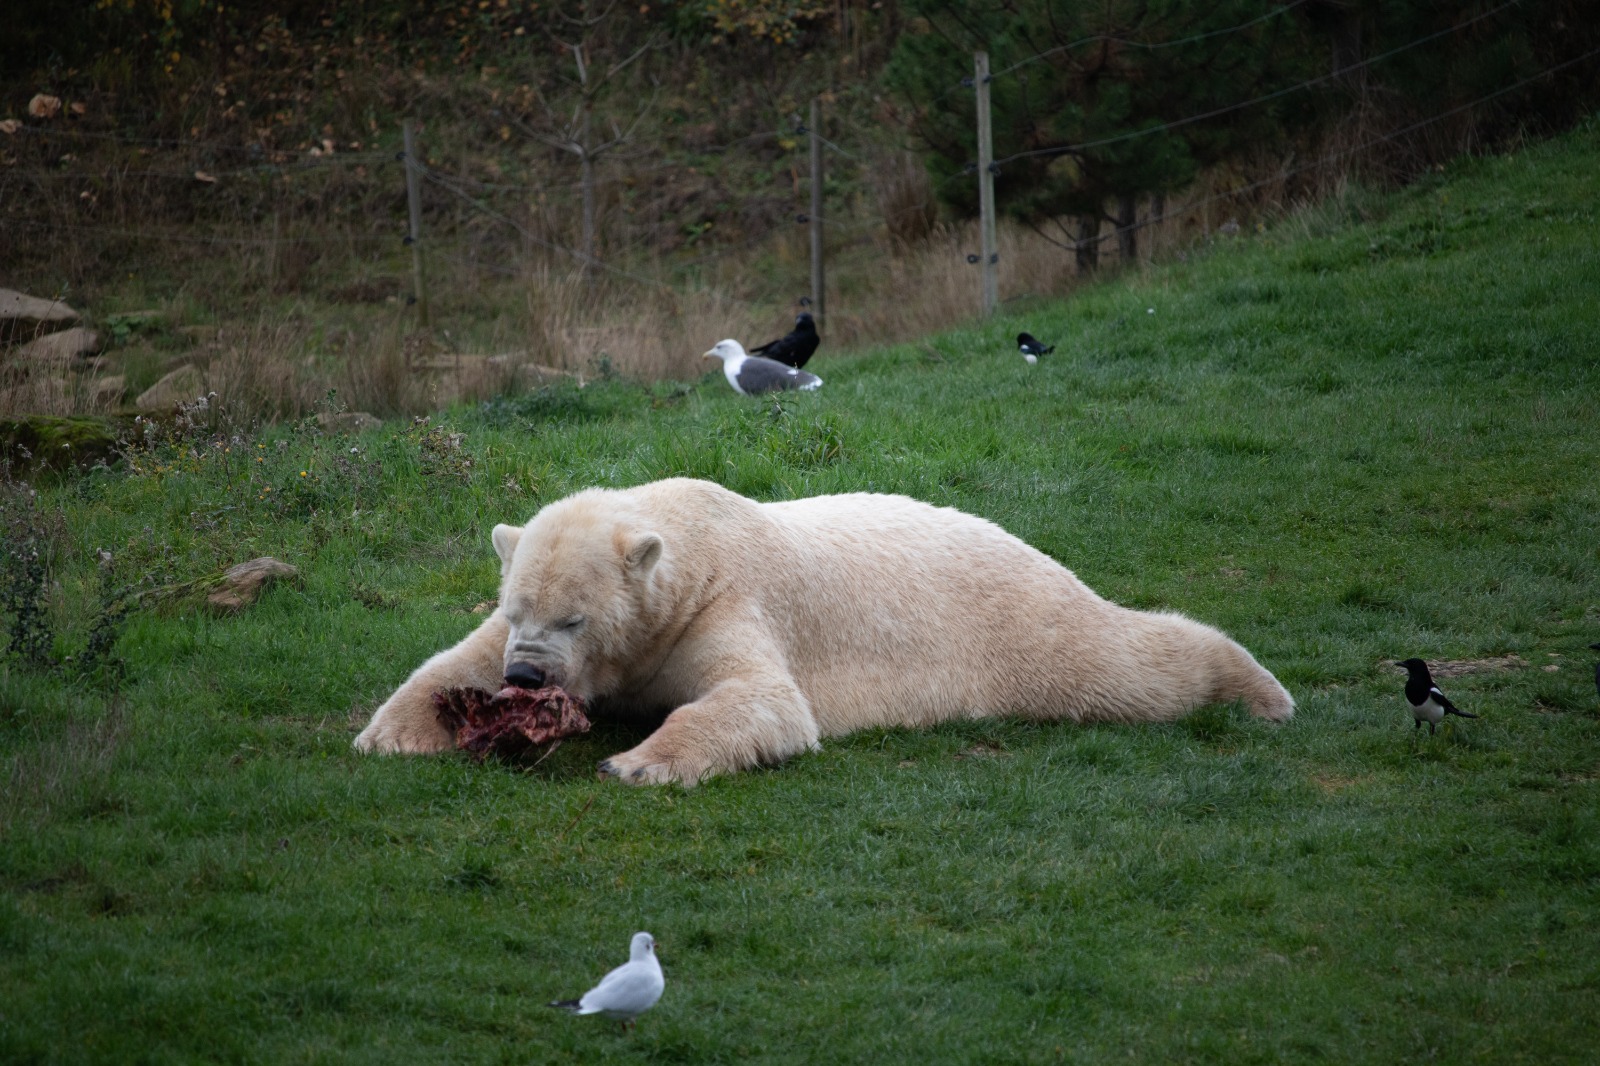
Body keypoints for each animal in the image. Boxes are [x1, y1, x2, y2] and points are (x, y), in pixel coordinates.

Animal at [354, 477, 1293, 784]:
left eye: (573, 617)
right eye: (518, 610)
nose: (527, 679)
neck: (689, 539)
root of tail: (1028, 545)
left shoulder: (724, 604)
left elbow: (765, 701)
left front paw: (639, 761)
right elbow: (450, 660)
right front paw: (389, 735)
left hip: (1023, 623)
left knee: (1120, 665)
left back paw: (1260, 690)